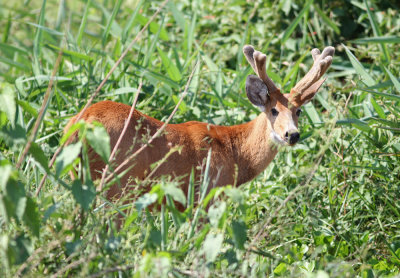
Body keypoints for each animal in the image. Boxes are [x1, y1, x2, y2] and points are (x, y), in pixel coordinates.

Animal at [65, 45, 334, 202]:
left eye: (299, 111)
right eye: (273, 111)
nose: (292, 135)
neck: (235, 152)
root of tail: (80, 123)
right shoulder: (206, 194)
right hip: (116, 182)